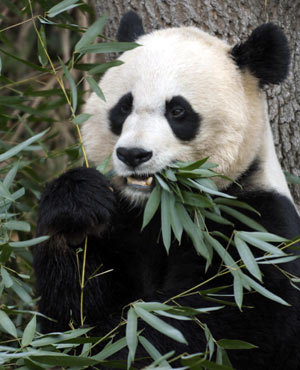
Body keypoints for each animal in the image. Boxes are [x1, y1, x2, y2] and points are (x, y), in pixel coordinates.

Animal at [33, 10, 300, 370]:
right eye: (123, 107)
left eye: (177, 111)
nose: (133, 155)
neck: (160, 211)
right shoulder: (121, 224)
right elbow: (69, 316)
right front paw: (76, 209)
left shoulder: (254, 232)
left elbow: (212, 325)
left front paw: (116, 348)